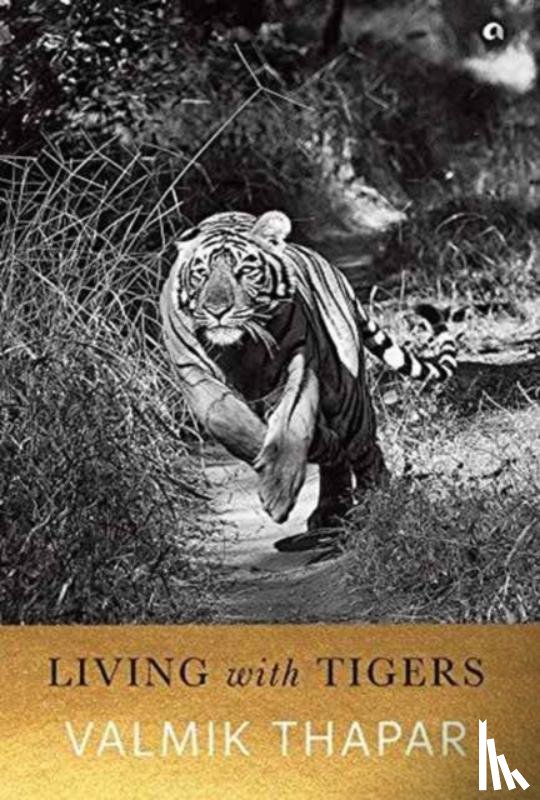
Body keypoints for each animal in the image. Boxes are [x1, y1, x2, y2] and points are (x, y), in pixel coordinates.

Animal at [160, 210, 457, 545]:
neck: (239, 350)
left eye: (245, 270)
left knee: (365, 449)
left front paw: (278, 490)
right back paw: (333, 505)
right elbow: (229, 421)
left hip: (346, 399)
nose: (217, 310)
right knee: (339, 458)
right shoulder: (193, 373)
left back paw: (376, 503)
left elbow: (292, 421)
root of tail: (338, 275)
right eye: (201, 273)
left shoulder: (300, 364)